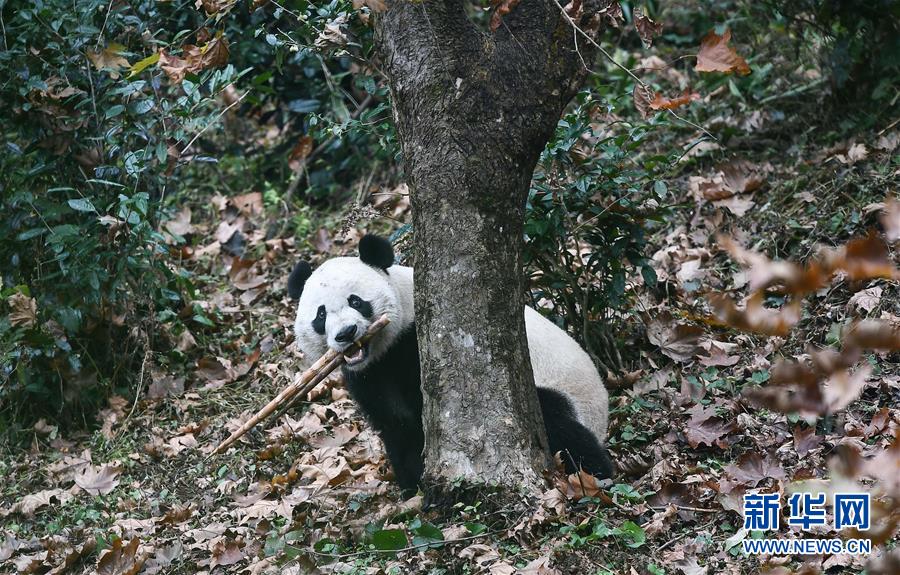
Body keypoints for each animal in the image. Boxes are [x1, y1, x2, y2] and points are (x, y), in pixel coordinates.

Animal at [288, 234, 612, 496]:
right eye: (320, 315)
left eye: (356, 301)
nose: (346, 333)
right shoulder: (369, 375)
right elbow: (396, 426)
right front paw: (413, 486)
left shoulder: (415, 343)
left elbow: (421, 411)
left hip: (553, 391)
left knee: (560, 426)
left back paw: (596, 474)